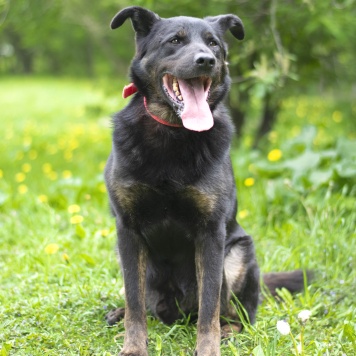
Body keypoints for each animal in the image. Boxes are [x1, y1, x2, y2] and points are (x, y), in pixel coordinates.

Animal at [104, 6, 308, 356]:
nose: (206, 60)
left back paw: (229, 331)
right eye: (174, 41)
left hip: (239, 254)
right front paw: (134, 346)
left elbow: (210, 305)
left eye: (214, 44)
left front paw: (209, 347)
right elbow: (134, 300)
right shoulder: (127, 229)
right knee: (144, 303)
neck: (173, 133)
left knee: (238, 314)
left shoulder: (211, 233)